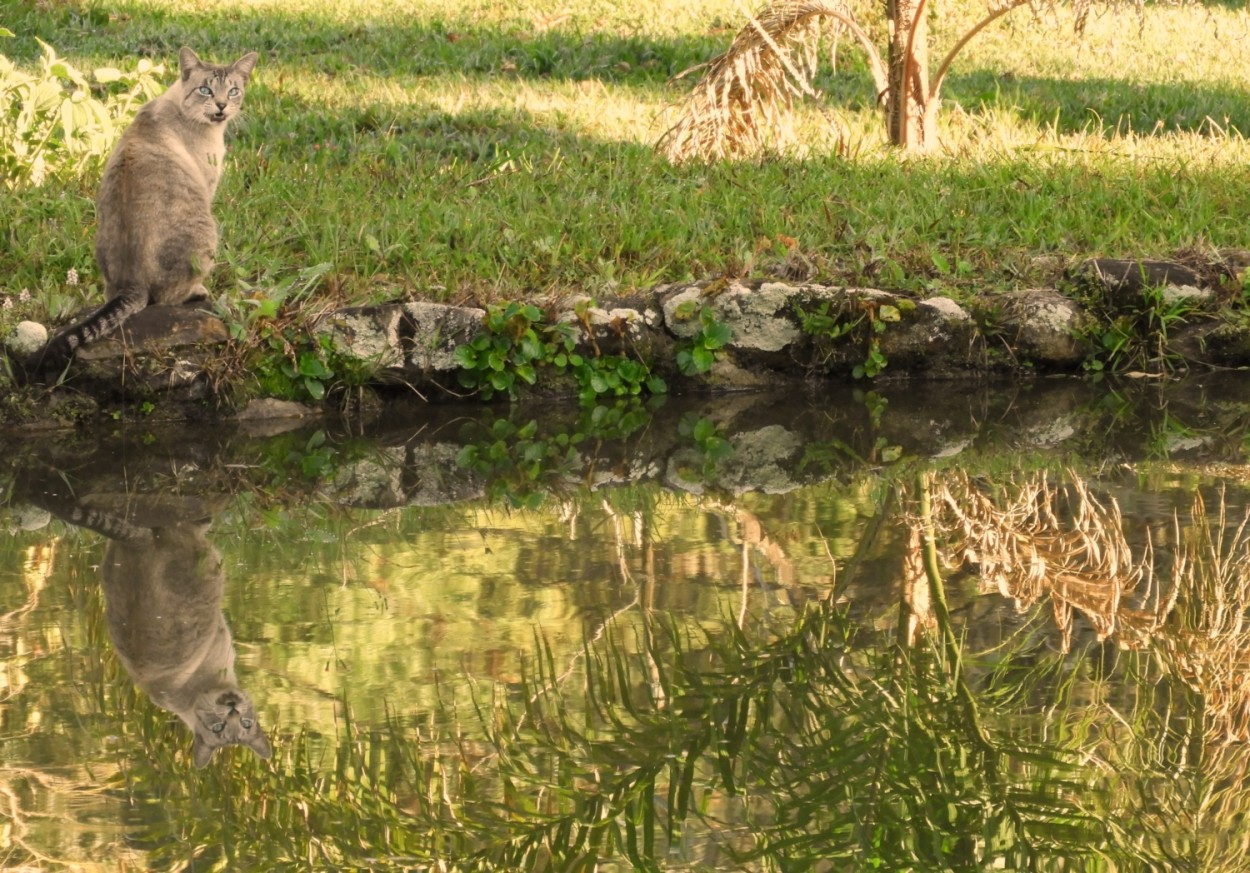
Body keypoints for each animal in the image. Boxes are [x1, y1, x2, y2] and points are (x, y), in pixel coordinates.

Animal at [21, 46, 256, 380]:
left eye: (233, 91)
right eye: (206, 90)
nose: (222, 105)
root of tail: (132, 285)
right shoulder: (209, 187)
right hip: (208, 231)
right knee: (167, 298)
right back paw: (198, 291)